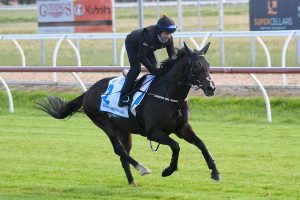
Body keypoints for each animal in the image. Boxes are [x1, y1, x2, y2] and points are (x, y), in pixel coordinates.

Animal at [37, 41, 220, 186]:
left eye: (208, 64)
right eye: (196, 66)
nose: (211, 88)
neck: (170, 96)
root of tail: (89, 90)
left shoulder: (182, 128)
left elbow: (202, 144)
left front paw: (215, 172)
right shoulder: (153, 133)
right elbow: (176, 146)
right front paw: (168, 170)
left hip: (124, 130)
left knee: (124, 154)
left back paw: (132, 182)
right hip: (105, 124)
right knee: (119, 150)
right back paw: (142, 169)